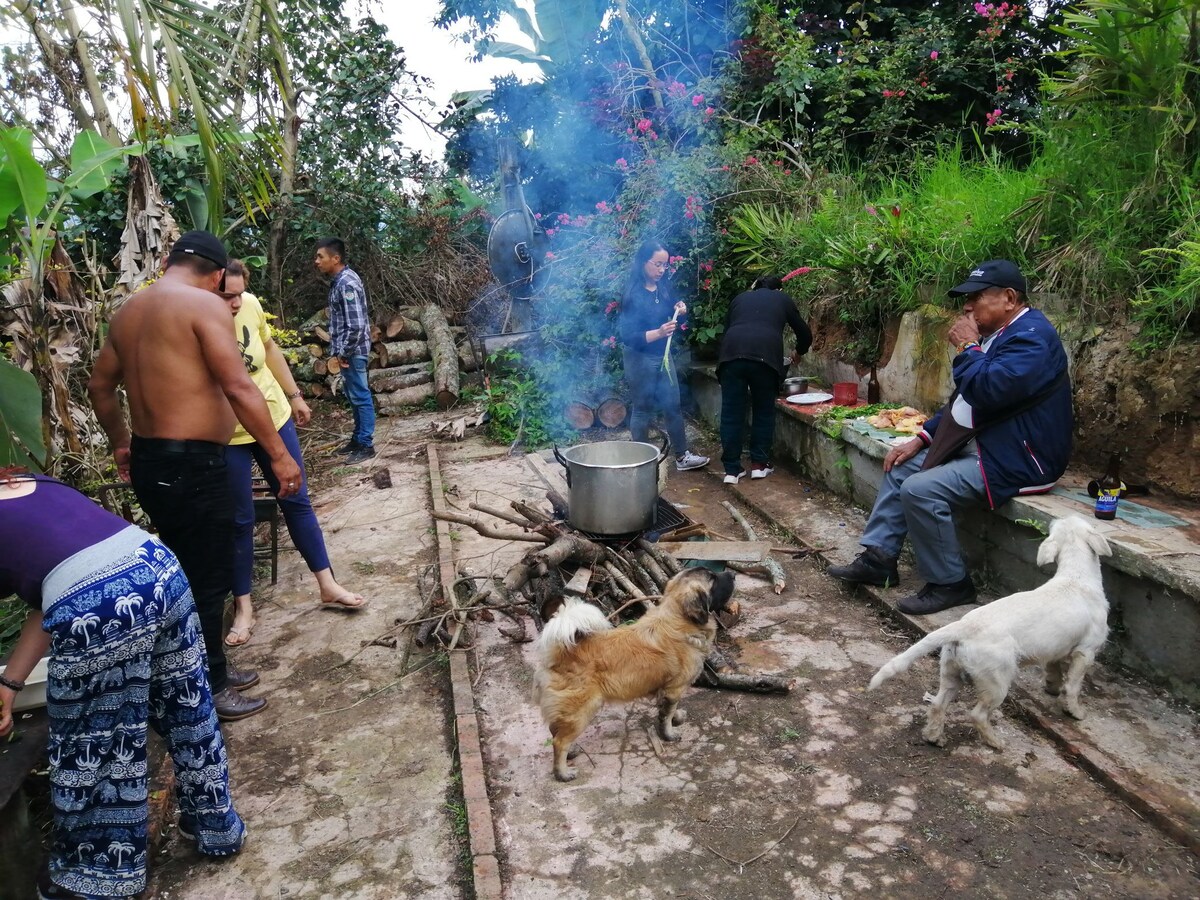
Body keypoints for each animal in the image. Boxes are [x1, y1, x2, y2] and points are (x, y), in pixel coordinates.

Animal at [532, 571, 729, 782]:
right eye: (713, 579)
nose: (732, 575)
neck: (678, 619)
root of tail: (561, 652)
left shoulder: (667, 690)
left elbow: (668, 710)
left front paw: (676, 717)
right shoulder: (674, 688)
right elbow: (666, 716)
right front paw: (669, 734)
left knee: (556, 732)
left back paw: (572, 751)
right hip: (582, 710)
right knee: (559, 742)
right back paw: (562, 773)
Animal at [868, 518, 1108, 748]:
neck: (1076, 576)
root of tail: (963, 626)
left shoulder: (1056, 648)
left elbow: (1054, 670)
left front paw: (1052, 687)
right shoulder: (1086, 651)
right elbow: (1073, 686)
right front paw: (1074, 711)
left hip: (951, 671)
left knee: (937, 704)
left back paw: (934, 737)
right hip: (997, 682)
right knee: (978, 714)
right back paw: (995, 742)